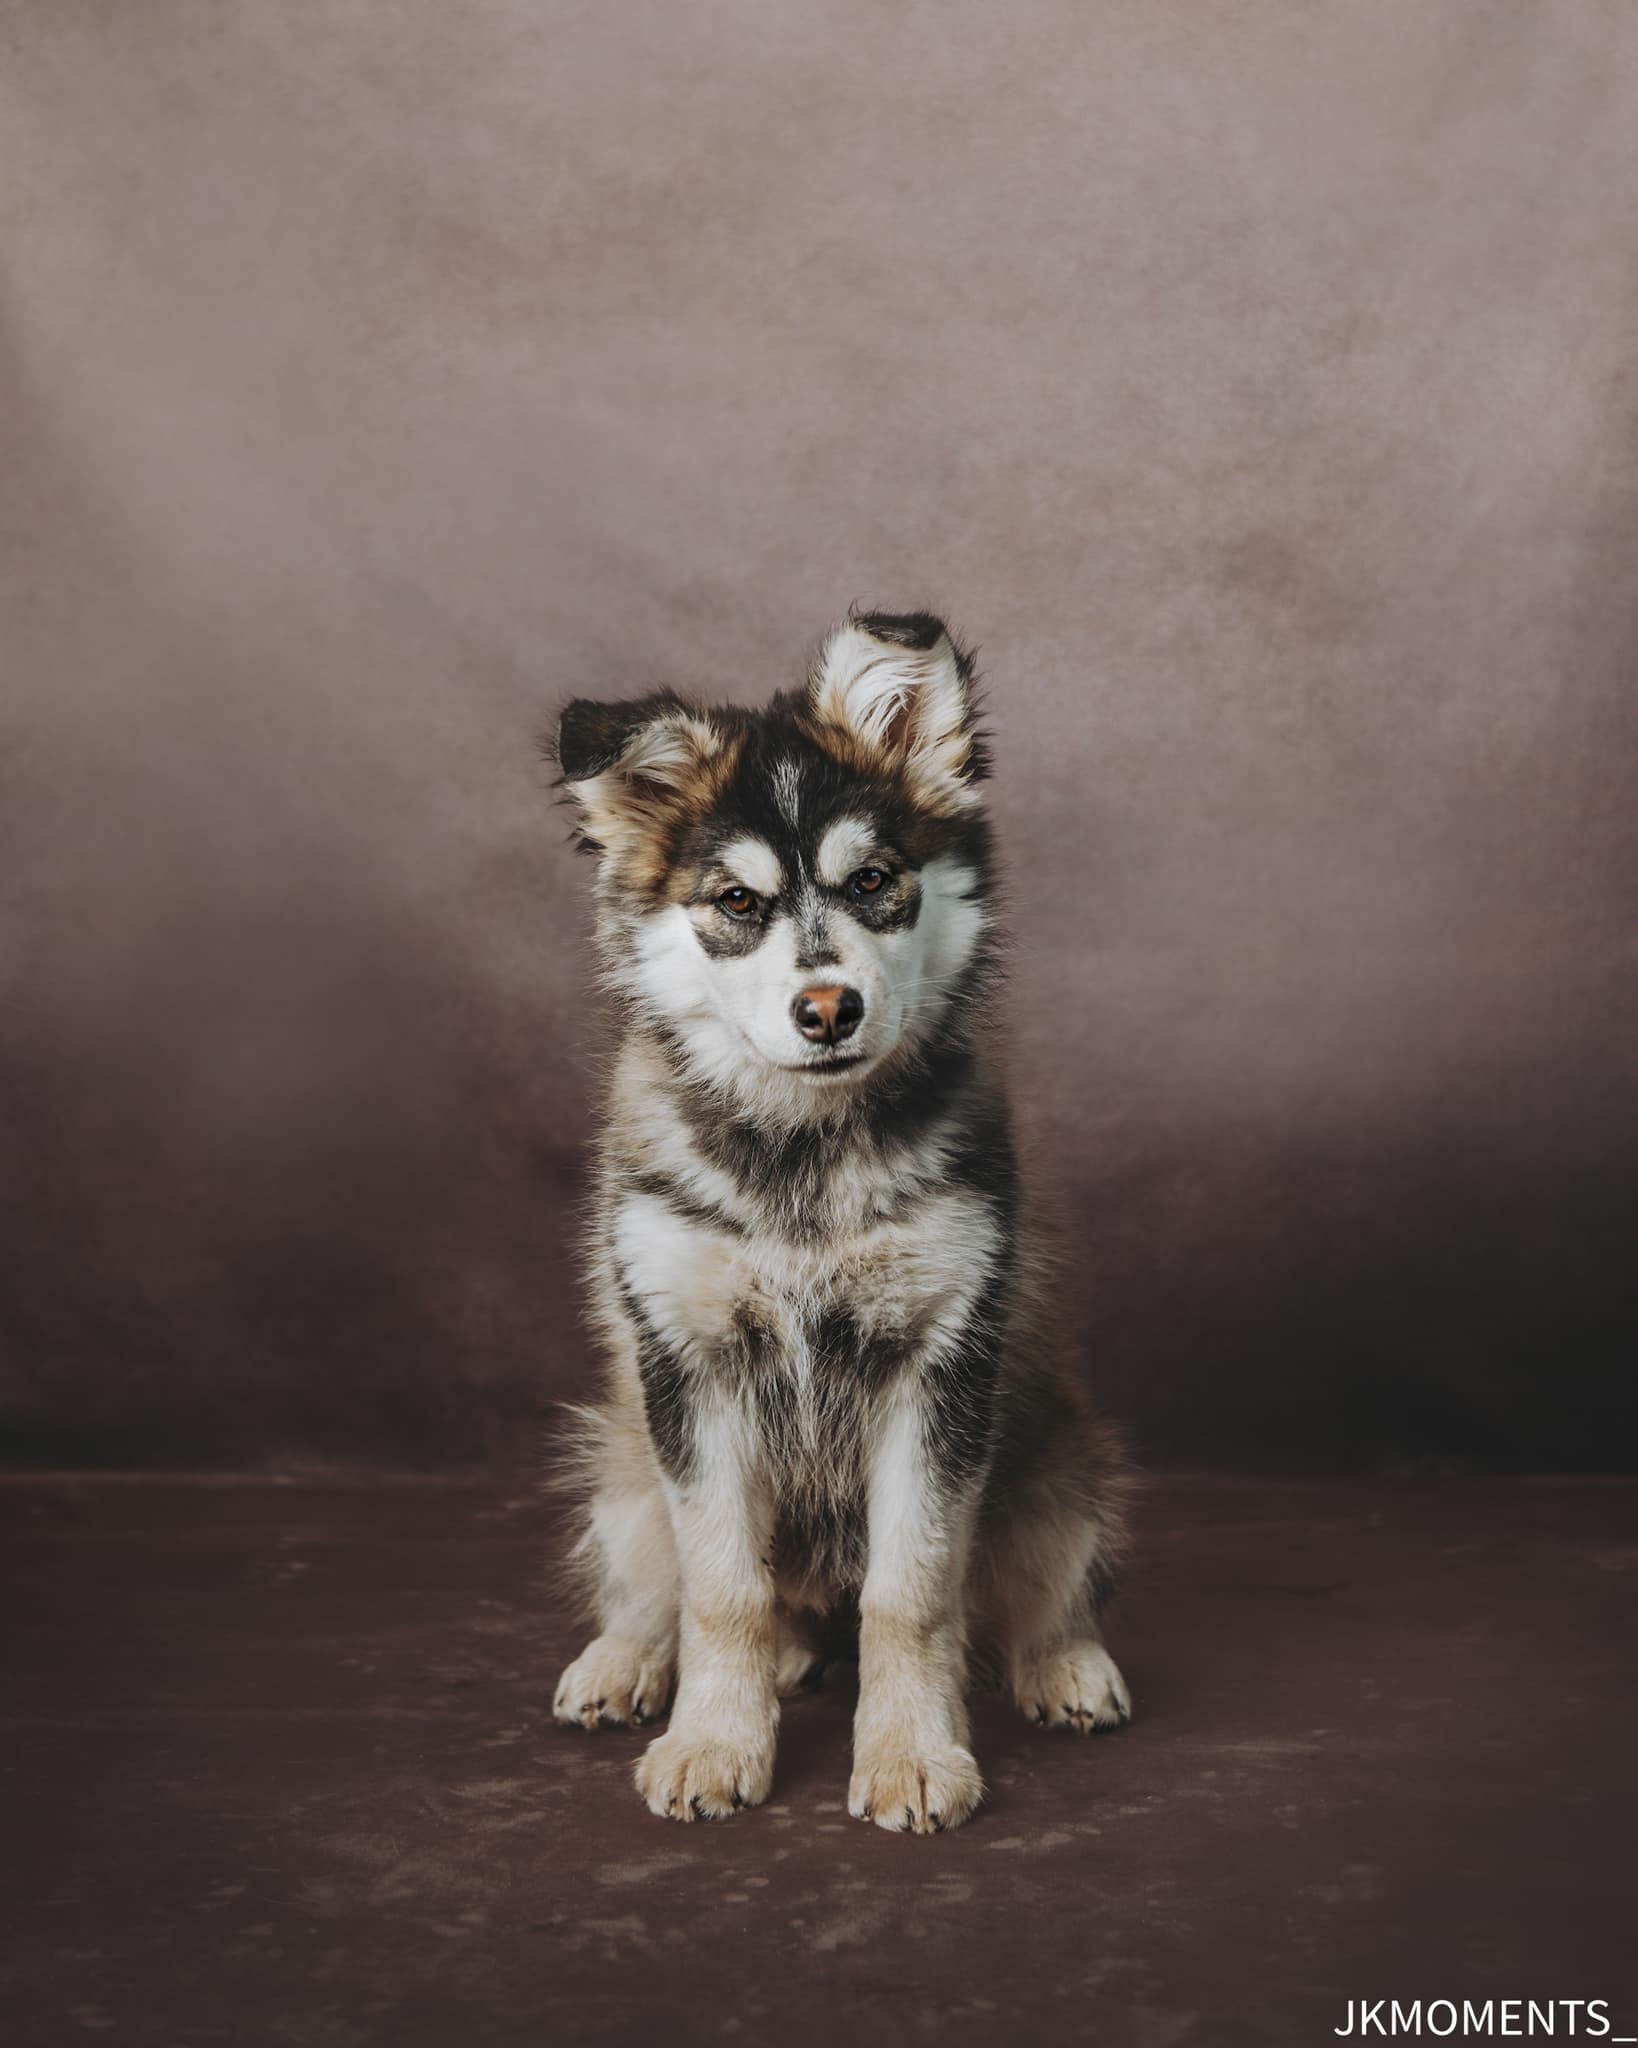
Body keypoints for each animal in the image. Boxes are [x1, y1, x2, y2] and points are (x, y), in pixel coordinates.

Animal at [548, 610, 1130, 1843]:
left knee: (1036, 1584)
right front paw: (715, 1744)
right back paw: (632, 1660)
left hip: (1058, 1459)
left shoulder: (942, 1358)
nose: (828, 1009)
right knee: (668, 1583)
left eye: (873, 881)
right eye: (736, 904)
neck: (801, 1160)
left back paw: (1064, 1661)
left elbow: (911, 1591)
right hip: (623, 1460)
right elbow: (721, 1587)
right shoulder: (688, 1363)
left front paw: (913, 1754)